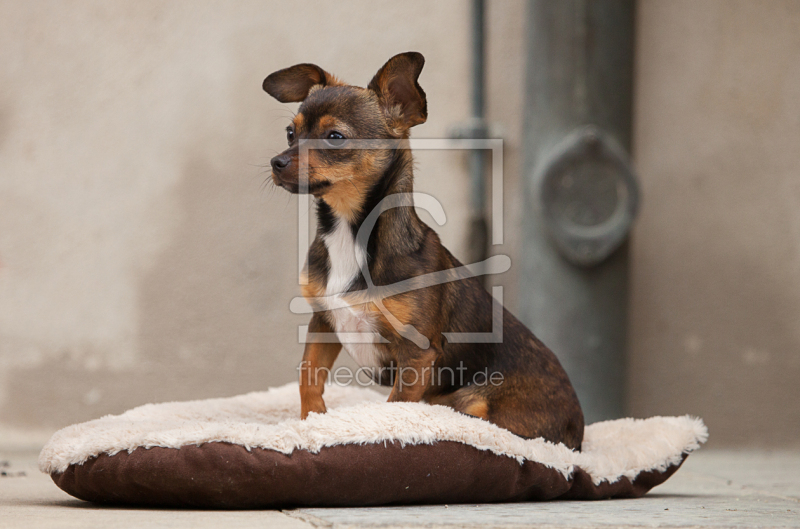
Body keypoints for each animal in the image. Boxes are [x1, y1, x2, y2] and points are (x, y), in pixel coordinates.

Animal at [266, 51, 584, 448]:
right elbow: (308, 375)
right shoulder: (323, 320)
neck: (349, 233)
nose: (276, 162)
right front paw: (311, 422)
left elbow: (395, 406)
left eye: (335, 137)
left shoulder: (416, 353)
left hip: (476, 400)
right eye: (290, 133)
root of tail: (579, 428)